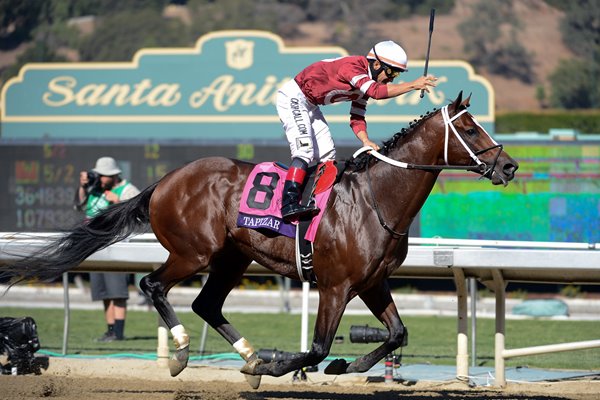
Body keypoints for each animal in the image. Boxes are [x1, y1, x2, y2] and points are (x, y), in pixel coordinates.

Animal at [0, 91, 516, 388]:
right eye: (468, 127)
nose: (509, 166)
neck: (376, 200)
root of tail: (165, 180)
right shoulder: (335, 286)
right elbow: (317, 348)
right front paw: (283, 365)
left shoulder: (371, 283)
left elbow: (396, 334)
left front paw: (344, 367)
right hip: (194, 251)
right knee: (154, 286)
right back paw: (183, 351)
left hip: (232, 259)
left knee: (206, 303)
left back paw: (247, 355)